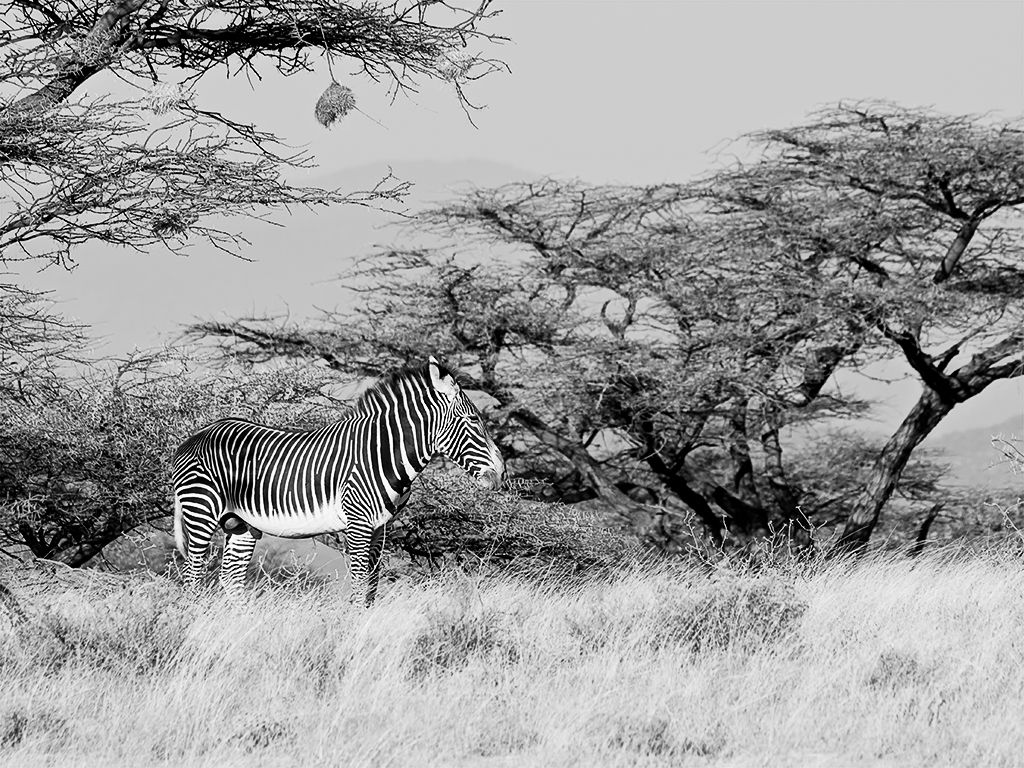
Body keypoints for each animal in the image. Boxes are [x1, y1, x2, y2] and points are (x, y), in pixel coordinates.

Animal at [171, 357, 505, 605]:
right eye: (474, 420)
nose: (501, 474)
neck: (380, 452)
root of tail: (195, 437)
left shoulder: (380, 528)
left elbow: (371, 586)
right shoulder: (357, 523)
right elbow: (358, 585)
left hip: (240, 524)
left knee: (230, 578)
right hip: (201, 511)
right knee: (193, 575)